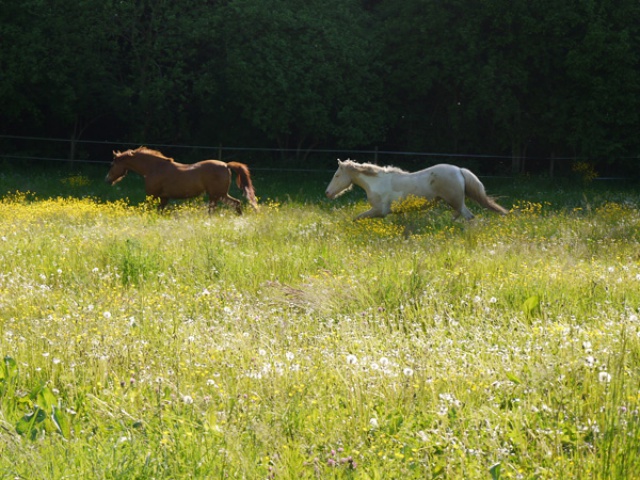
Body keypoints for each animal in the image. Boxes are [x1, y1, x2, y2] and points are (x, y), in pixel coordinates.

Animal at [105, 146, 258, 214]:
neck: (154, 168)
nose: (107, 180)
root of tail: (226, 165)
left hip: (216, 195)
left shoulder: (153, 196)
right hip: (219, 195)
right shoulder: (164, 198)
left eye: (112, 164)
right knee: (236, 203)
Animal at [328, 158, 508, 220]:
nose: (327, 193)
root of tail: (459, 170)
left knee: (468, 217)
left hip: (455, 201)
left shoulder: (379, 210)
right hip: (455, 202)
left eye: (336, 175)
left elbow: (357, 218)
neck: (376, 183)